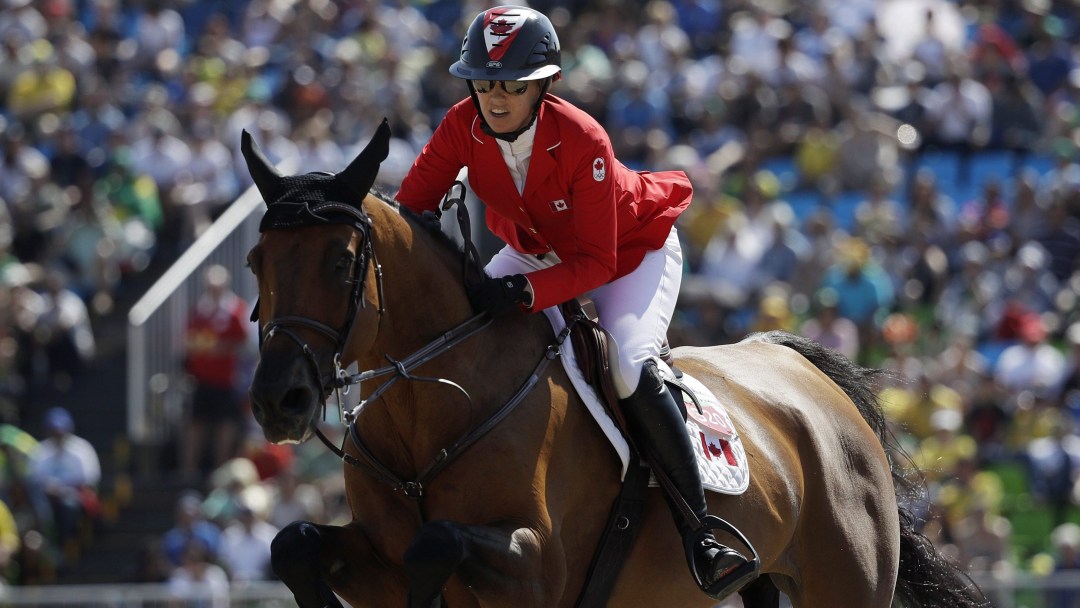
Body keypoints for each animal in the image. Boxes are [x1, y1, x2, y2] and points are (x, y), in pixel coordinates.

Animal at [240, 120, 989, 608]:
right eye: (255, 263)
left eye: (342, 264)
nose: (278, 401)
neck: (429, 399)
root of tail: (806, 377)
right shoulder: (379, 559)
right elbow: (295, 543)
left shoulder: (535, 567)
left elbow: (438, 544)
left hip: (844, 582)